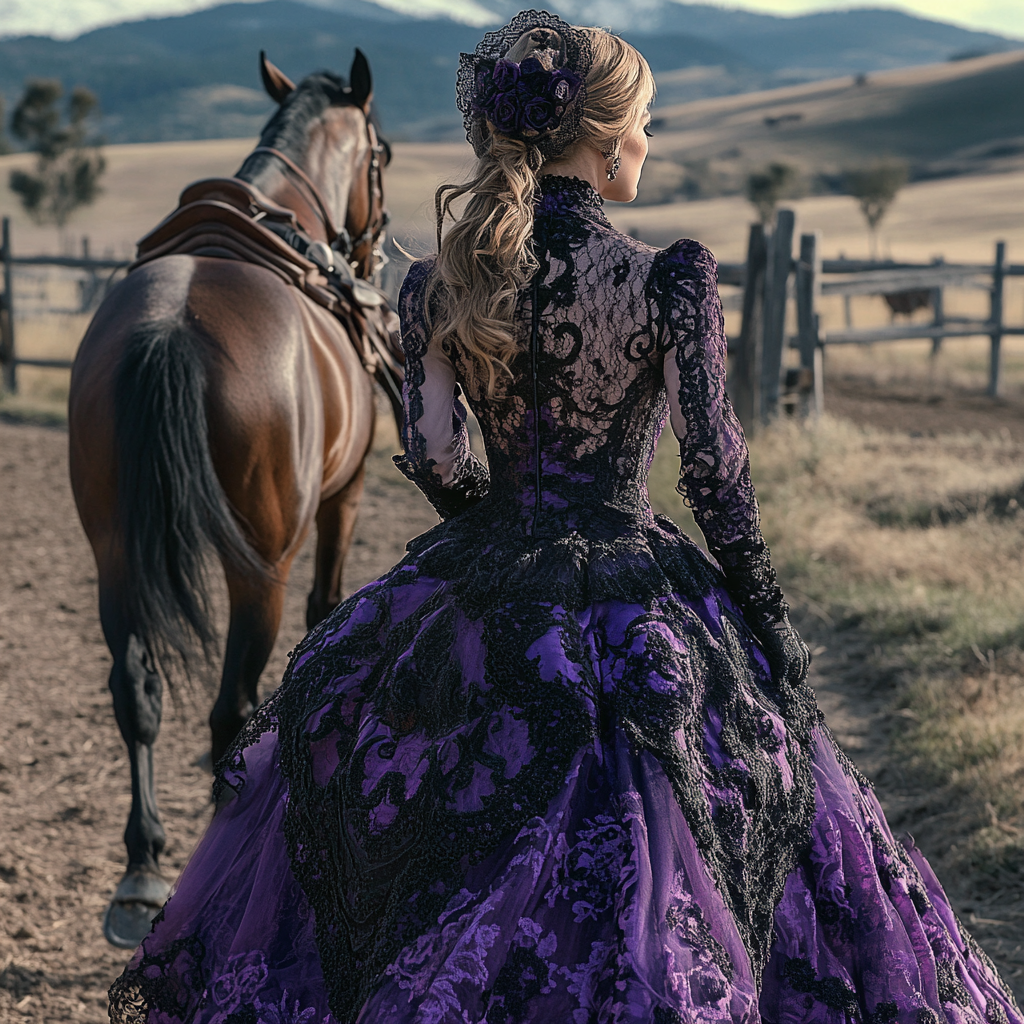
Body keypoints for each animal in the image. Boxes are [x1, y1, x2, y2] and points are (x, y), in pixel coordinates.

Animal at [68, 51, 393, 946]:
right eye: (382, 155)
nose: (374, 254)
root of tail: (170, 328)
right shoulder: (345, 496)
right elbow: (326, 608)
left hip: (115, 555)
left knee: (135, 692)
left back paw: (143, 868)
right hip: (259, 570)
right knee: (230, 709)